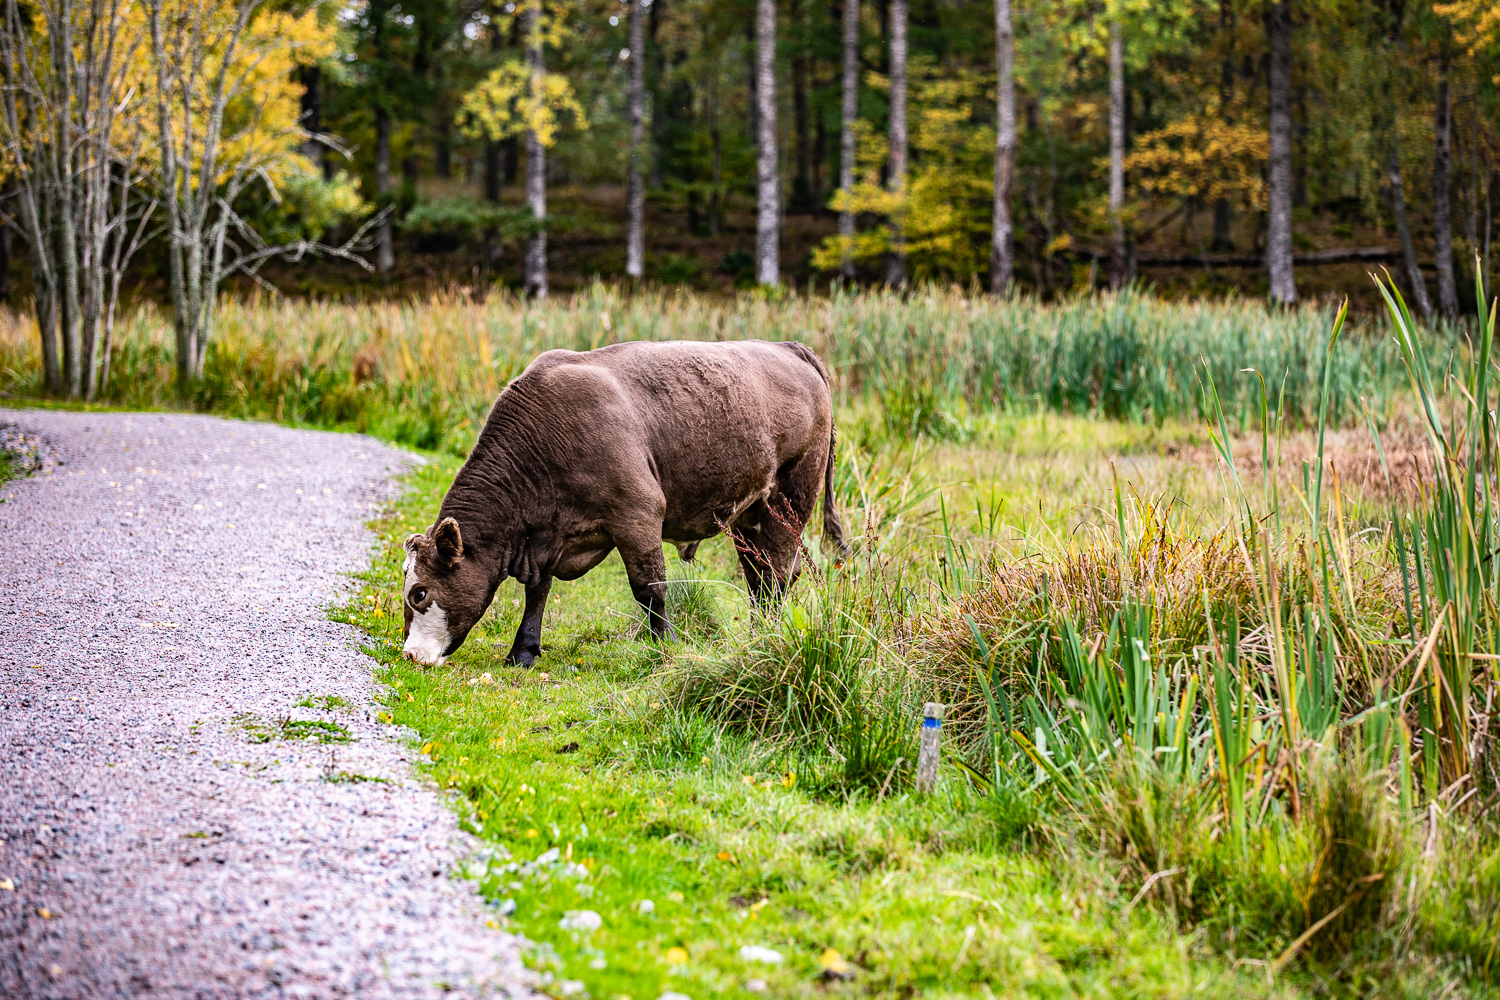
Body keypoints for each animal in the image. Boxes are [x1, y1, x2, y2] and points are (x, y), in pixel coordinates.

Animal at [399, 340, 846, 668]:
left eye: (419, 593)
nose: (409, 655)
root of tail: (787, 347)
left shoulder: (639, 513)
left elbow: (650, 588)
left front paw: (665, 647)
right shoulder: (547, 538)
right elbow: (537, 592)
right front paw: (522, 652)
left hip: (791, 498)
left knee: (777, 575)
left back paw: (765, 637)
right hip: (748, 514)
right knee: (759, 576)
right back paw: (758, 636)